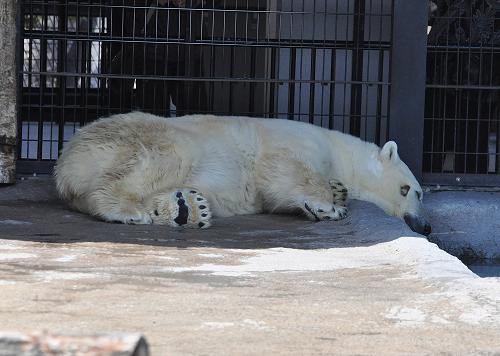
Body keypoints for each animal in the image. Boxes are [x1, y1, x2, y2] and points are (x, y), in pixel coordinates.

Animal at [53, 112, 430, 236]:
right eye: (410, 190)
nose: (424, 226)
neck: (340, 151)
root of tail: (65, 164)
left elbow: (275, 195)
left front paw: (337, 193)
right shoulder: (296, 141)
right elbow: (281, 169)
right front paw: (329, 204)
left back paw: (187, 209)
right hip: (150, 138)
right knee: (159, 159)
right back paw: (128, 209)